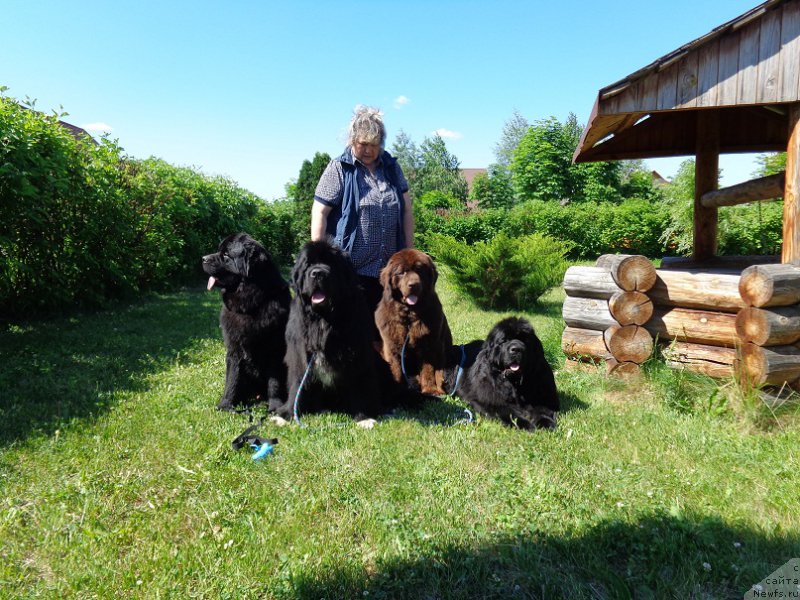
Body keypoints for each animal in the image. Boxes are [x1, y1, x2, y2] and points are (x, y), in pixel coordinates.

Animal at [202, 232, 290, 410]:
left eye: (226, 255)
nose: (203, 258)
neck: (249, 303)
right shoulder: (234, 347)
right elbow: (233, 377)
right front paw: (226, 404)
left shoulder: (274, 349)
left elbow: (274, 381)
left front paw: (275, 406)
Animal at [374, 247, 450, 394]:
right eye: (401, 272)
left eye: (419, 270)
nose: (413, 285)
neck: (409, 317)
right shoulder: (391, 346)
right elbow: (396, 369)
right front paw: (397, 389)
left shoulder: (429, 344)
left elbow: (428, 370)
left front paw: (430, 389)